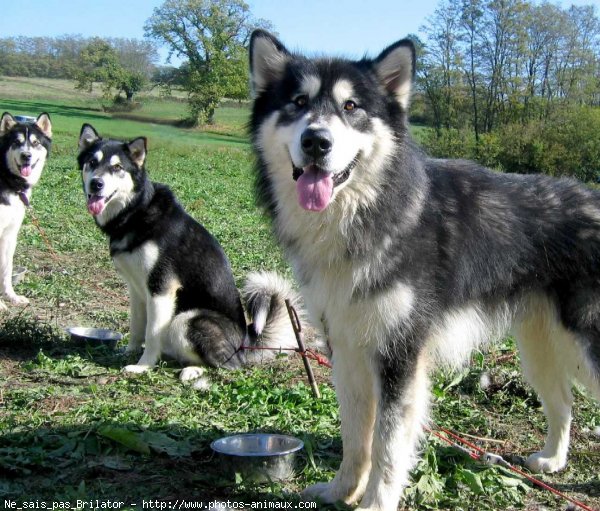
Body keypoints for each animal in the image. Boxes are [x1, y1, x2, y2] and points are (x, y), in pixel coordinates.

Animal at [0, 113, 51, 310]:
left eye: (36, 143)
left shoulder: (9, 234)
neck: (8, 179)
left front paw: (12, 297)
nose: (26, 155)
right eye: (16, 142)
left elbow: (6, 270)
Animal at [77, 125, 298, 388]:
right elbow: (137, 326)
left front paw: (143, 366)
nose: (96, 184)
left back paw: (192, 370)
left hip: (187, 320)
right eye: (92, 162)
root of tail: (244, 344)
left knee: (230, 366)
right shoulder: (137, 289)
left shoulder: (161, 289)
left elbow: (151, 333)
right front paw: (129, 352)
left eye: (117, 167)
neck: (136, 211)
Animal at [246, 30, 600, 510]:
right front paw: (341, 491)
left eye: (351, 107)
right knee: (562, 402)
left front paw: (375, 503)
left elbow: (388, 445)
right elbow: (356, 436)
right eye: (298, 102)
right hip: (539, 341)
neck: (368, 213)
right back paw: (552, 460)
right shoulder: (348, 348)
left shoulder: (401, 355)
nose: (317, 141)